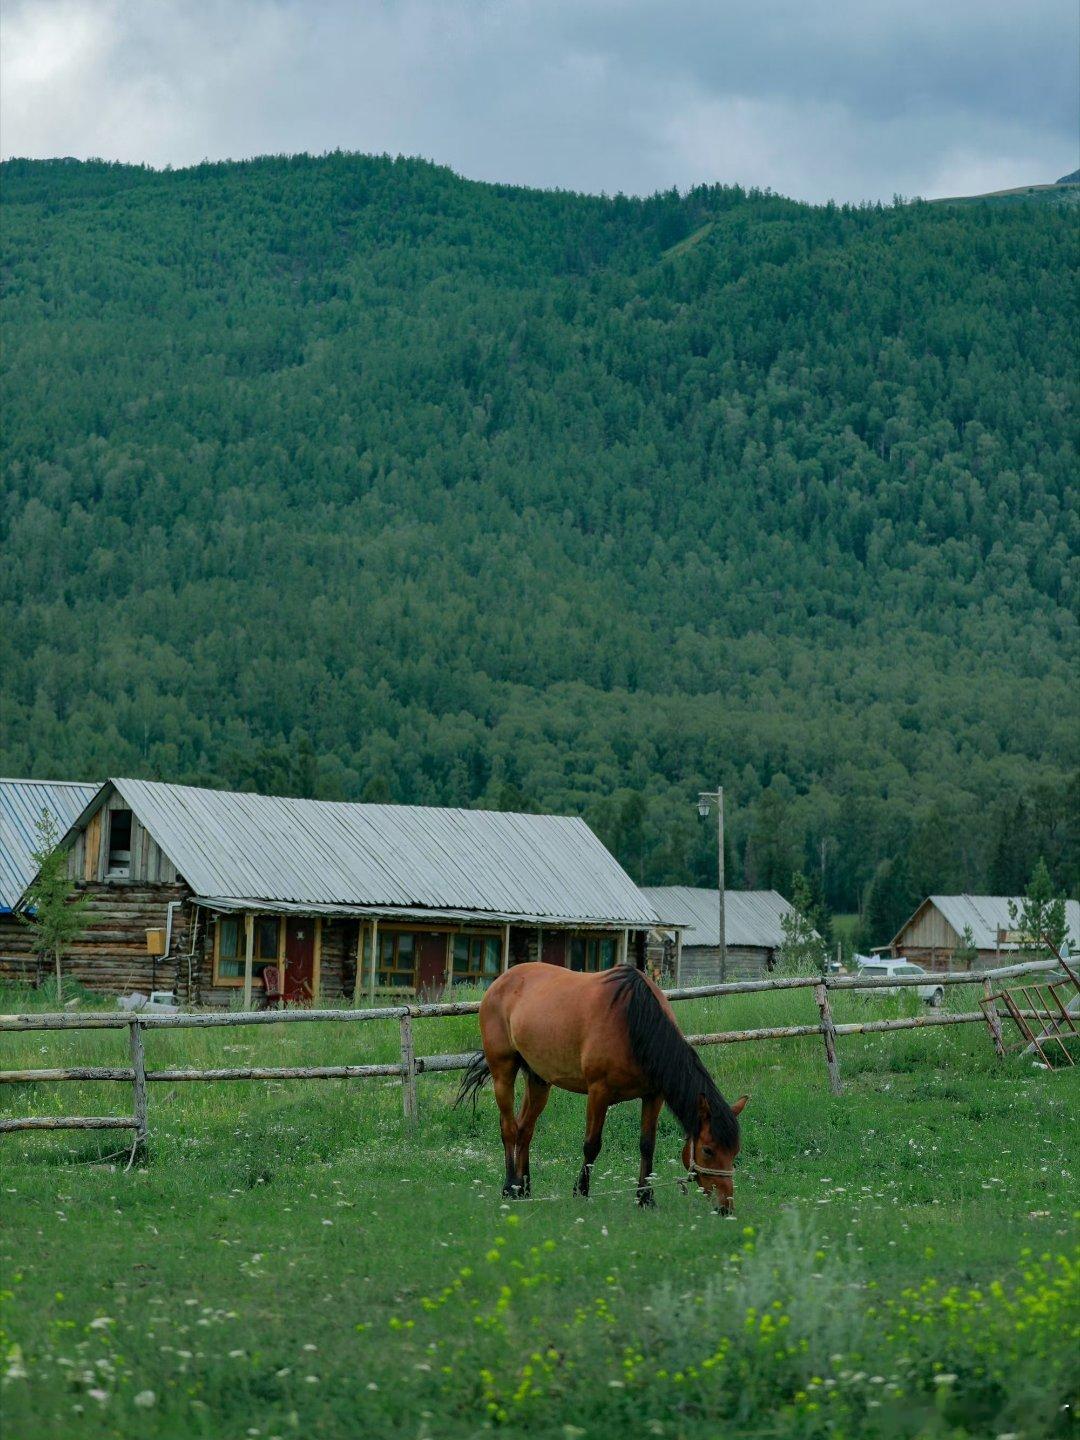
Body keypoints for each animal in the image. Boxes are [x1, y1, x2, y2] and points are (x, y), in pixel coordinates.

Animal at [456, 962, 748, 1212]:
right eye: (708, 1150)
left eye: (734, 1151)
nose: (726, 1206)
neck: (634, 1022)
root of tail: (501, 981)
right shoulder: (599, 1092)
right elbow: (591, 1145)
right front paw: (581, 1192)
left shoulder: (653, 1096)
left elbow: (647, 1145)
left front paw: (645, 1198)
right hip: (503, 1071)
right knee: (508, 1127)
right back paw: (510, 1187)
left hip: (539, 1079)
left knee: (525, 1129)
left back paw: (525, 1187)